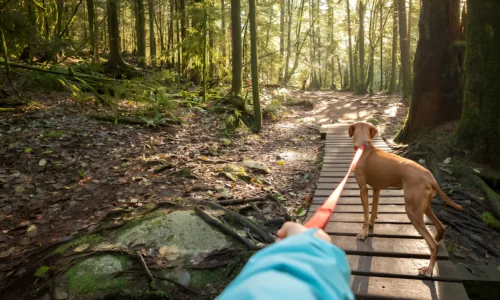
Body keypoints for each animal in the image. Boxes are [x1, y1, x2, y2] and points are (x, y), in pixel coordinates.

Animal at [350, 122, 462, 276]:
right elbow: (374, 210)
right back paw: (438, 240)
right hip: (423, 207)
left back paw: (429, 269)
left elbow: (366, 215)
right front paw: (372, 225)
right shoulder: (377, 188)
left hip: (412, 211)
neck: (365, 147)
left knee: (433, 245)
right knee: (440, 227)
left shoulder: (363, 189)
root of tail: (430, 177)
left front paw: (363, 234)